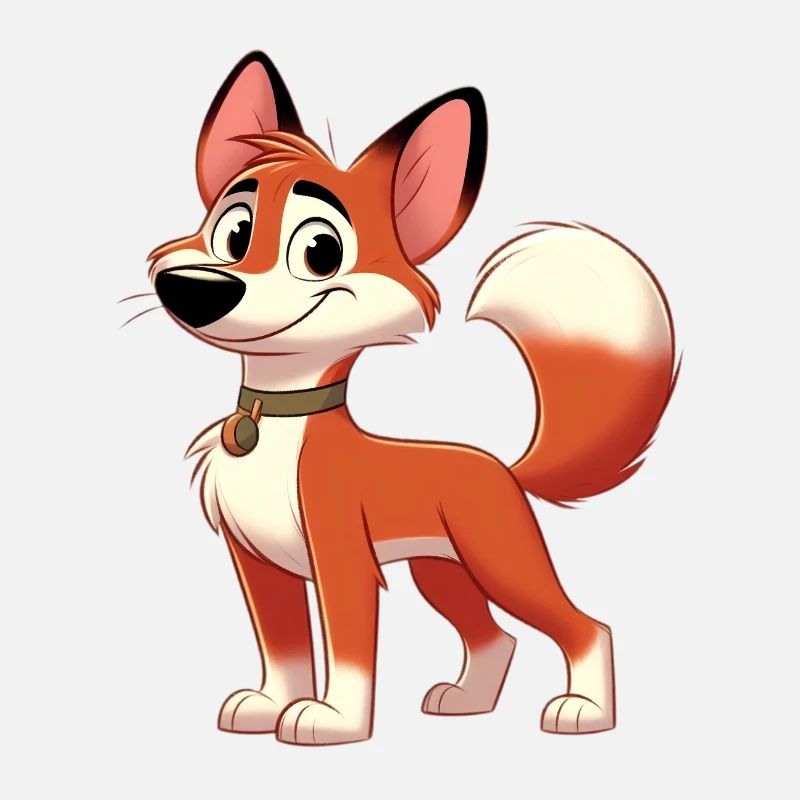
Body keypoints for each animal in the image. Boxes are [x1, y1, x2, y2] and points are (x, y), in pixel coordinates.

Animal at [143, 51, 676, 746]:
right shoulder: (257, 564)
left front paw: (333, 720)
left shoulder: (342, 558)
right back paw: (468, 702)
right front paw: (267, 706)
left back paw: (585, 711)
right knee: (495, 638)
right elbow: (283, 650)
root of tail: (504, 468)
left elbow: (348, 649)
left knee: (585, 626)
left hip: (501, 561)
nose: (194, 288)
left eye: (320, 250)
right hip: (442, 572)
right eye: (232, 231)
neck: (276, 421)